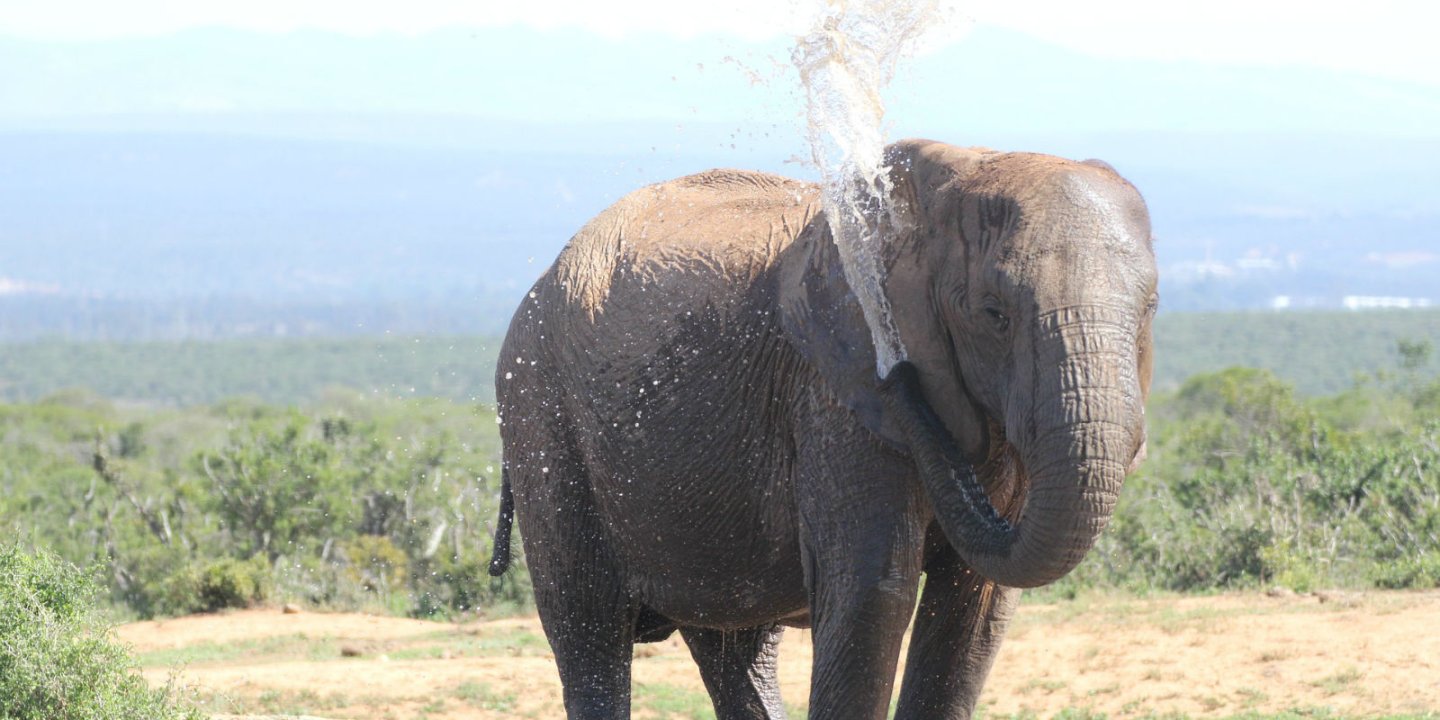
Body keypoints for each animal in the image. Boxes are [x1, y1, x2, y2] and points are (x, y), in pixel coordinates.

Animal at [486, 140, 1157, 720]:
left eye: (1149, 309)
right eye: (994, 314)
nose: (902, 373)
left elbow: (973, 608)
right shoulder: (832, 394)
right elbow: (872, 596)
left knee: (735, 649)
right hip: (541, 415)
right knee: (588, 626)